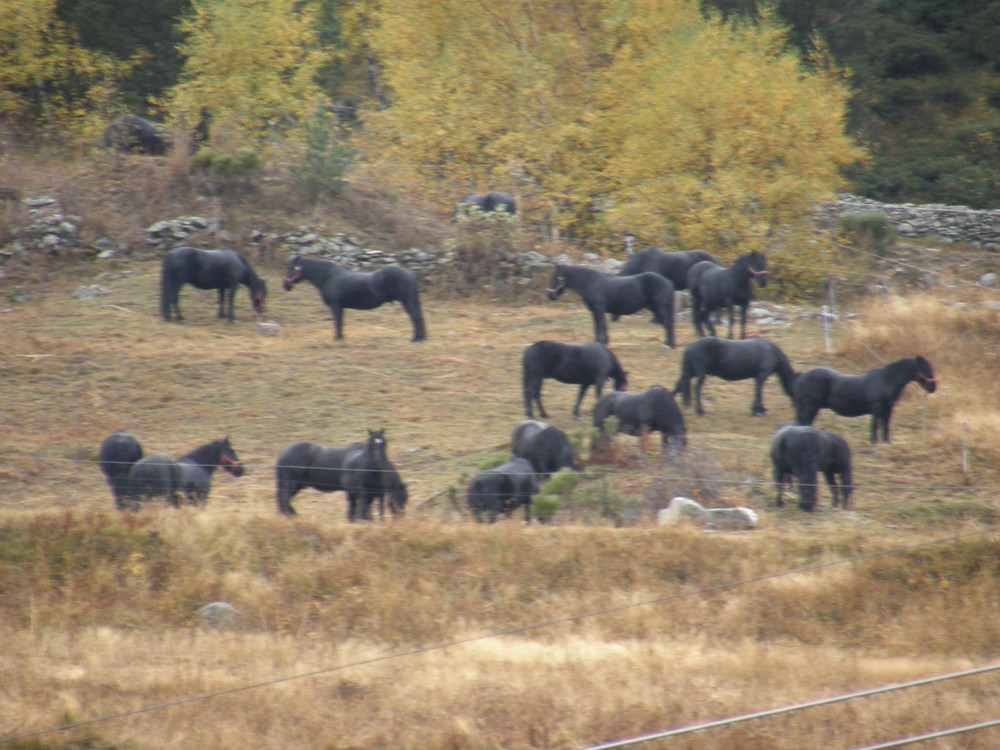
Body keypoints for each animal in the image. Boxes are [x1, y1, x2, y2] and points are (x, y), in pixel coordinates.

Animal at [282, 256, 426, 344]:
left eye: (291, 268)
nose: (284, 286)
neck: (329, 277)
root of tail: (410, 274)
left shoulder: (336, 306)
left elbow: (338, 322)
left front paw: (337, 339)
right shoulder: (340, 307)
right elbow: (340, 322)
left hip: (407, 301)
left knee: (415, 318)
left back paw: (416, 339)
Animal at [548, 264, 680, 350]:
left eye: (556, 277)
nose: (549, 295)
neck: (591, 282)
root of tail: (667, 282)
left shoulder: (599, 308)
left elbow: (602, 325)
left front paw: (604, 342)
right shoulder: (594, 311)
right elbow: (596, 327)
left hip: (660, 307)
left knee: (667, 324)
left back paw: (668, 345)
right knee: (667, 324)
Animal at [788, 356, 936, 444]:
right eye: (924, 369)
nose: (933, 388)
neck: (886, 379)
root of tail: (802, 377)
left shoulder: (888, 408)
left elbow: (885, 425)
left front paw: (886, 442)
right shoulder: (876, 406)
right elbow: (875, 424)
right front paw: (874, 441)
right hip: (811, 406)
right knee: (805, 421)